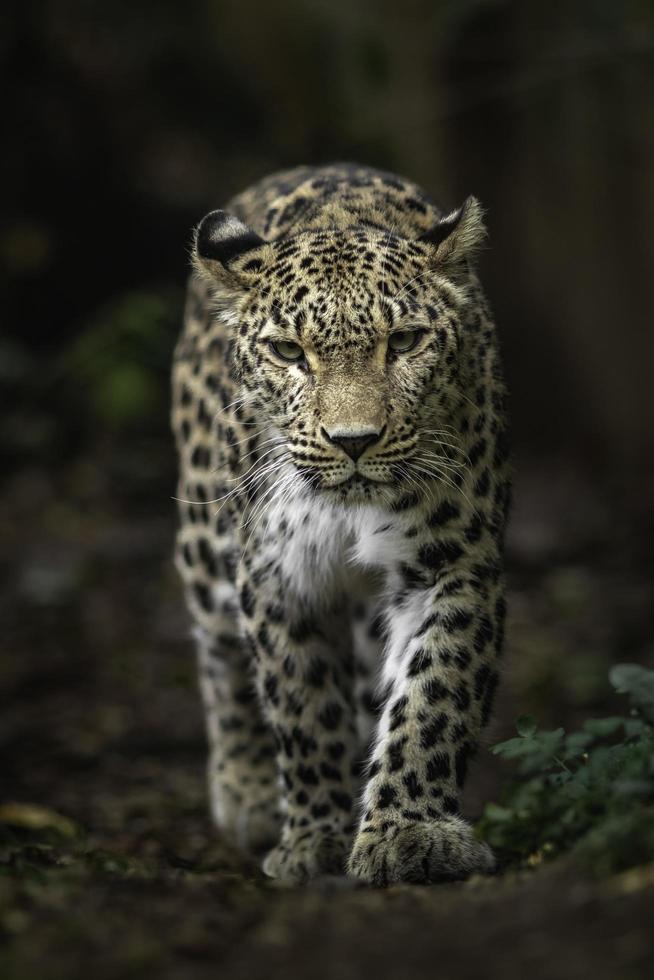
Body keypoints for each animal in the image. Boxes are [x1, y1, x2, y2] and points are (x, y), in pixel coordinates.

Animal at [173, 163, 512, 888]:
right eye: (288, 352)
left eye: (405, 341)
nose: (353, 441)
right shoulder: (275, 577)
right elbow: (299, 705)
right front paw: (314, 839)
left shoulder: (455, 562)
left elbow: (433, 696)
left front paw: (410, 831)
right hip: (206, 546)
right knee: (219, 653)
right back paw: (246, 792)